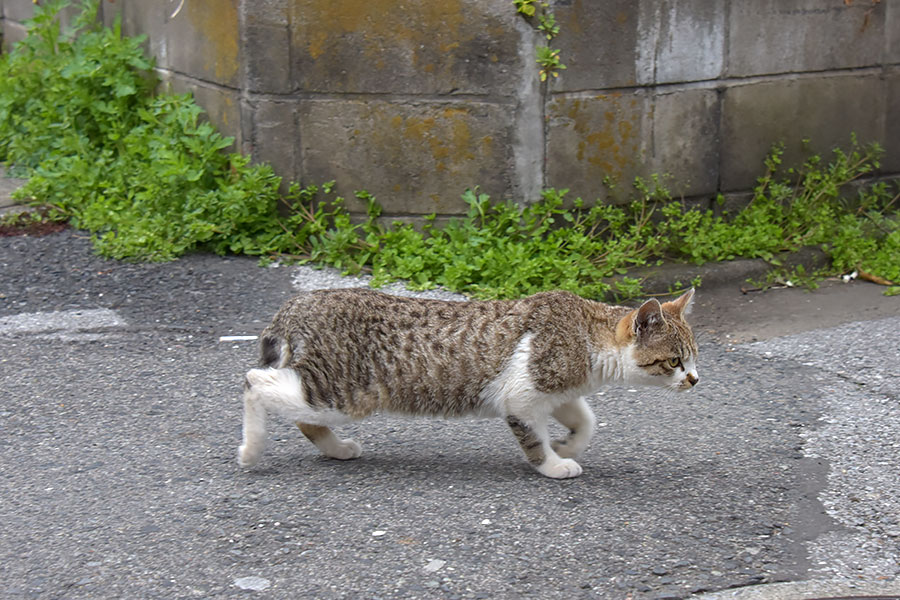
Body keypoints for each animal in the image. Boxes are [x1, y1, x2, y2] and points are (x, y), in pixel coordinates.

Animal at [236, 286, 700, 478]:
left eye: (695, 357)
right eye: (674, 361)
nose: (695, 379)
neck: (586, 335)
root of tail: (298, 302)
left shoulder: (559, 392)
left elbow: (587, 421)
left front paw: (568, 444)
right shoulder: (521, 397)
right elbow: (534, 440)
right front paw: (554, 464)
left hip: (330, 393)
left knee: (302, 416)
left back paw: (337, 449)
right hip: (342, 391)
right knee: (254, 381)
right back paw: (251, 448)